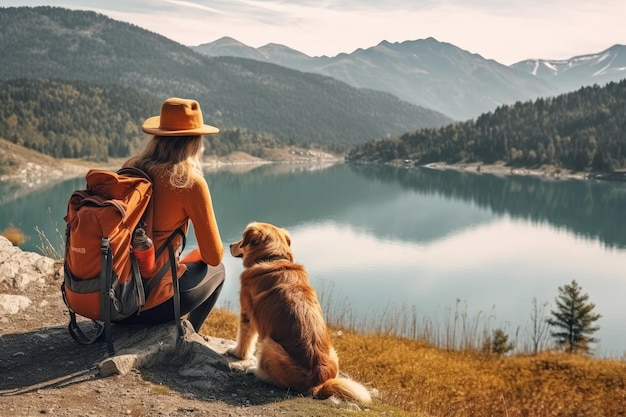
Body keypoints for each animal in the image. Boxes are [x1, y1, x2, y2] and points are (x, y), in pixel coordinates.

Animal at [225, 223, 368, 402]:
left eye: (242, 239)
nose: (230, 245)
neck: (273, 258)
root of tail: (316, 386)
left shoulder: (247, 313)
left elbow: (244, 339)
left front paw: (237, 353)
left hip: (269, 344)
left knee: (271, 377)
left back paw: (255, 370)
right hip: (334, 352)